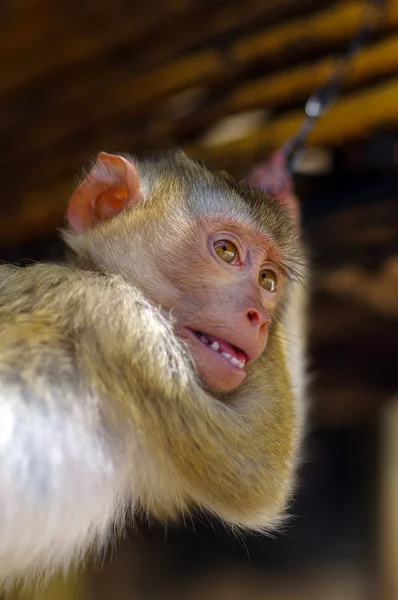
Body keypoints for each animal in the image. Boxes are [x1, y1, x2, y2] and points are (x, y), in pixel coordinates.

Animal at [0, 150, 308, 584]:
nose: (261, 319)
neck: (96, 273)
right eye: (226, 252)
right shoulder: (120, 320)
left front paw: (279, 183)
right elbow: (256, 470)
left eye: (268, 280)